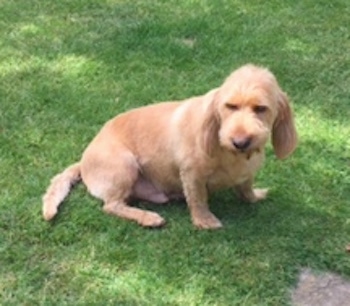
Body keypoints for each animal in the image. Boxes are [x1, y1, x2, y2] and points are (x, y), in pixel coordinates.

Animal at [42, 64, 296, 230]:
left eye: (261, 109)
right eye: (230, 106)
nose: (240, 141)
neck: (228, 151)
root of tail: (83, 161)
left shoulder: (246, 173)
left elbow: (246, 189)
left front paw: (255, 196)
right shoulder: (191, 174)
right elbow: (198, 199)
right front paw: (204, 221)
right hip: (125, 165)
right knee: (111, 206)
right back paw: (148, 217)